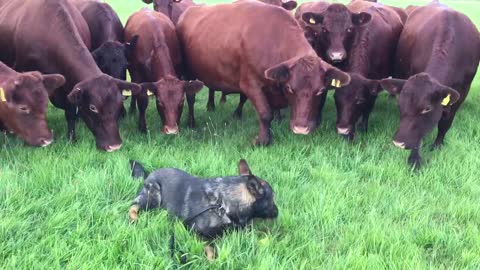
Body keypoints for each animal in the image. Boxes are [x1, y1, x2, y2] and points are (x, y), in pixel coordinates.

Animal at [128, 158, 278, 260]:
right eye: (272, 198)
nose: (278, 212)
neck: (222, 204)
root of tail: (148, 175)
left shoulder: (243, 229)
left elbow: (258, 233)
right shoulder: (196, 233)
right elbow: (211, 248)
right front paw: (213, 261)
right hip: (153, 197)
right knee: (133, 205)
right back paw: (134, 218)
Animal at [178, 0, 350, 146]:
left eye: (320, 91)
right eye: (290, 88)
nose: (301, 128)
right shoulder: (250, 85)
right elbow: (266, 114)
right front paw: (262, 140)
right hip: (188, 73)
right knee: (191, 97)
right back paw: (191, 122)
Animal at [302, 2, 404, 140]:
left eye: (349, 29)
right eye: (324, 29)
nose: (343, 129)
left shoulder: (375, 82)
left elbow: (369, 104)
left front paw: (362, 128)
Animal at [378, 2, 480, 168]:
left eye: (427, 108)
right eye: (400, 105)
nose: (399, 142)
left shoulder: (462, 92)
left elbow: (445, 123)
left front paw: (437, 146)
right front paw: (414, 159)